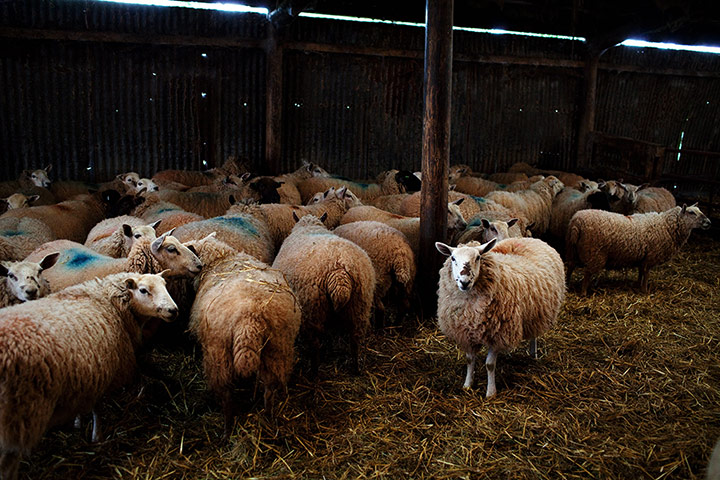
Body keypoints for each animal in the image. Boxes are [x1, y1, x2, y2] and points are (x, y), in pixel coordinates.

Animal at [0, 271, 178, 480]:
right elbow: (96, 408)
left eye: (165, 285)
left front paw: (77, 422)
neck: (106, 301)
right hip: (15, 421)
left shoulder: (84, 373)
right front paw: (97, 437)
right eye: (143, 290)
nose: (173, 310)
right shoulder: (102, 370)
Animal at [186, 234, 301, 434]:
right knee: (270, 389)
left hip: (219, 355)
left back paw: (227, 429)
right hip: (277, 350)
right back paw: (269, 419)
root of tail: (250, 317)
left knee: (226, 395)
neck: (220, 259)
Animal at [272, 214, 375, 374]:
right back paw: (355, 368)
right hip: (360, 308)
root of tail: (339, 269)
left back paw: (313, 372)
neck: (309, 227)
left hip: (312, 309)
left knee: (314, 344)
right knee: (355, 340)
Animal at [435, 237, 566, 397]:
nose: (464, 282)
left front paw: (491, 392)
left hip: (537, 312)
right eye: (453, 258)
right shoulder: (466, 334)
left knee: (534, 334)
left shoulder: (497, 333)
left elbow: (490, 365)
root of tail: (525, 238)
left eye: (478, 257)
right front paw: (467, 385)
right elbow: (469, 360)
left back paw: (533, 353)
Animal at [565, 204, 711, 295]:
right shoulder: (651, 256)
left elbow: (641, 272)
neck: (666, 226)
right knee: (587, 273)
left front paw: (638, 284)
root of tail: (576, 223)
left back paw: (566, 284)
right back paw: (584, 292)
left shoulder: (643, 257)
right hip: (594, 253)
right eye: (691, 212)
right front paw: (645, 290)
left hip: (572, 250)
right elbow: (646, 274)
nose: (708, 222)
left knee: (570, 267)